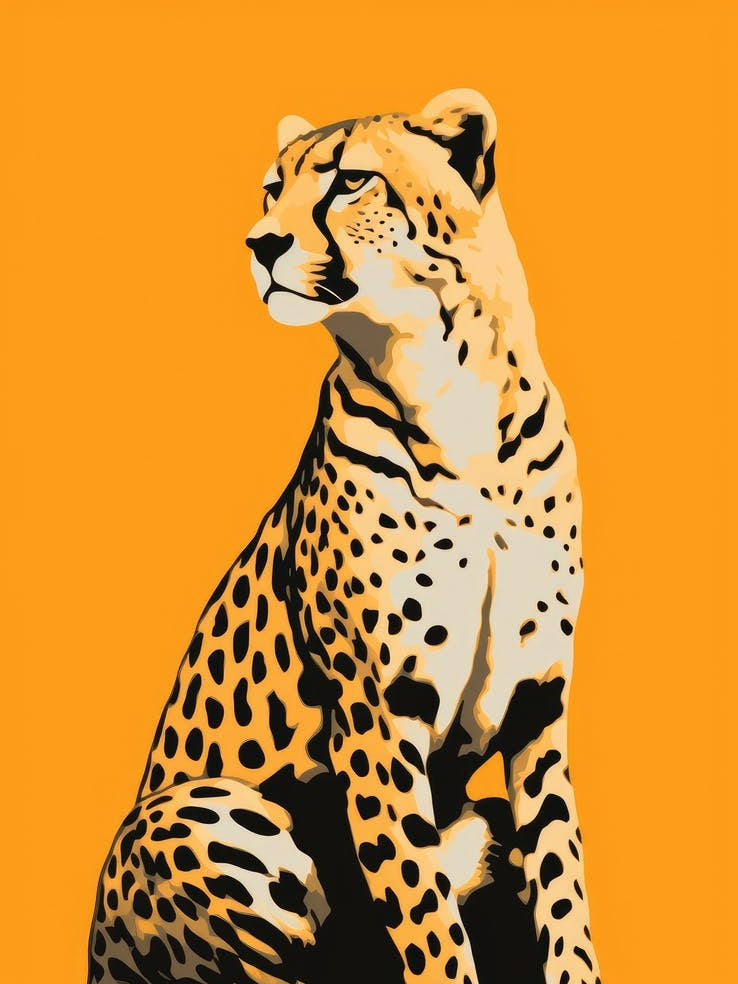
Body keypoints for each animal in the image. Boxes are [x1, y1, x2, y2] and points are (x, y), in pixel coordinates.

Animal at [88, 89, 602, 984]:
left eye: (350, 181)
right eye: (271, 190)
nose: (260, 243)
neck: (448, 381)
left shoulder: (538, 705)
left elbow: (561, 889)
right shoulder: (377, 709)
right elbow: (424, 913)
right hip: (199, 810)